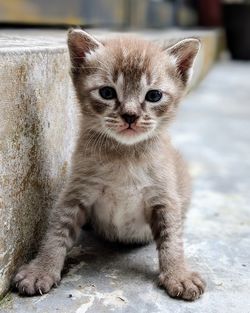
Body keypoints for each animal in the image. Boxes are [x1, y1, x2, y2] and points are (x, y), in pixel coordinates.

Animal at [12, 29, 206, 300]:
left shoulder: (164, 198)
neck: (124, 156)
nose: (130, 116)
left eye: (154, 95)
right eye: (107, 92)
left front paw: (179, 274)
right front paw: (41, 269)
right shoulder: (75, 192)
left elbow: (172, 238)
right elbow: (56, 231)